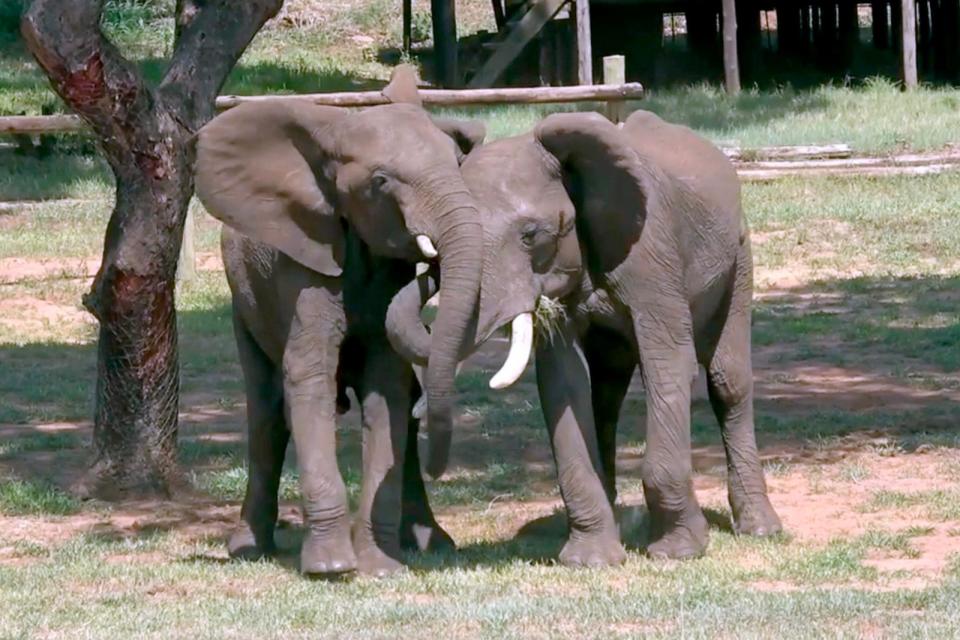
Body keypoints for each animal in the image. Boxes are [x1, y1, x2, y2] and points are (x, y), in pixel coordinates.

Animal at [192, 69, 484, 576]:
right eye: (381, 181)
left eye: (457, 162)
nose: (432, 262)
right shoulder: (302, 265)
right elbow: (308, 377)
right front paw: (330, 568)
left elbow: (387, 389)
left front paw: (379, 567)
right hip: (243, 304)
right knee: (266, 413)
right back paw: (248, 549)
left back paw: (431, 543)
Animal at [386, 110, 784, 564]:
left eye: (531, 235)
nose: (434, 468)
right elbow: (564, 382)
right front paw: (591, 559)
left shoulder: (652, 254)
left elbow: (668, 365)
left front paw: (679, 551)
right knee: (606, 395)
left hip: (739, 255)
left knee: (727, 381)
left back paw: (760, 528)